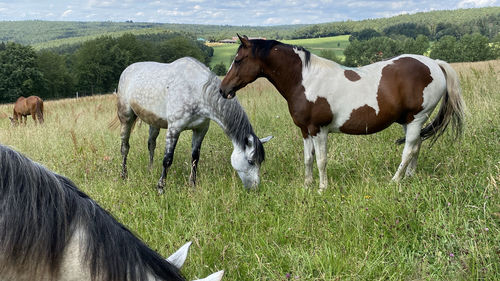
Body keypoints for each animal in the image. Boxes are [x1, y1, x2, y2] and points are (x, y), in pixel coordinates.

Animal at [221, 34, 466, 192]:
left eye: (238, 60)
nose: (223, 89)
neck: (305, 80)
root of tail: (433, 63)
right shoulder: (305, 131)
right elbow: (308, 159)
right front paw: (307, 186)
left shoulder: (318, 130)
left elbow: (321, 160)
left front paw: (322, 188)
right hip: (409, 121)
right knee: (416, 147)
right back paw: (409, 177)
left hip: (416, 118)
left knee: (408, 151)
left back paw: (395, 181)